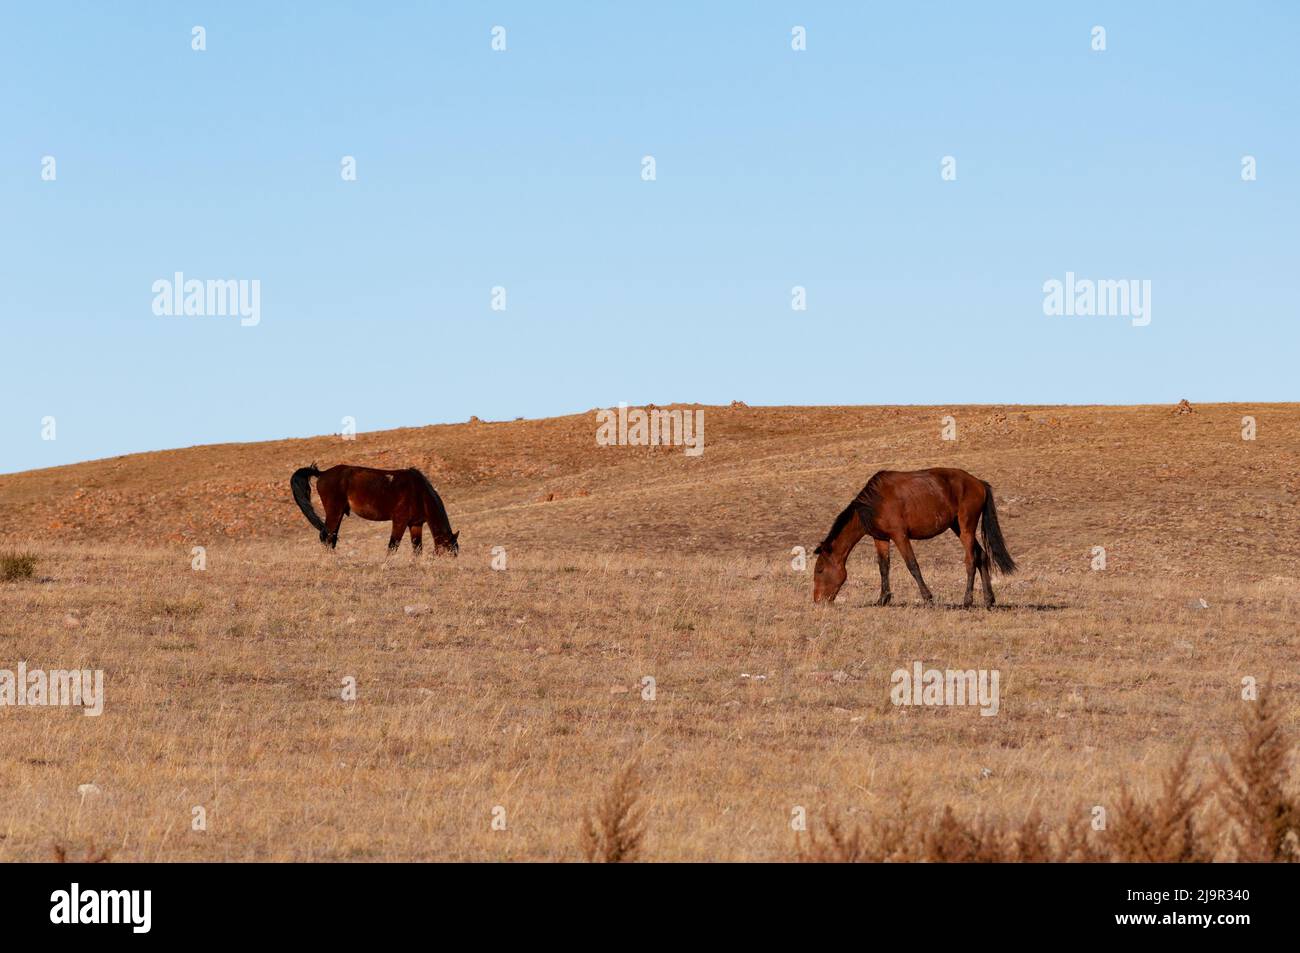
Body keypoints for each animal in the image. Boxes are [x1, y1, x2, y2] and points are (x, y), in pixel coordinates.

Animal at [292, 462, 460, 553]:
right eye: (450, 551)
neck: (419, 493)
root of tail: (322, 473)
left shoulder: (415, 525)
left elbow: (417, 549)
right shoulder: (400, 522)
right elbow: (393, 546)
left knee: (331, 538)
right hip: (334, 512)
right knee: (326, 537)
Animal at [811, 470, 1013, 608]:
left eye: (820, 570)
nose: (817, 601)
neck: (874, 504)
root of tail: (979, 483)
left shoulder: (900, 536)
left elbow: (912, 565)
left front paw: (928, 598)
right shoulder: (881, 539)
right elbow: (883, 568)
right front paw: (883, 599)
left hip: (966, 528)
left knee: (971, 561)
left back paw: (967, 601)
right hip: (957, 527)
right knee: (982, 556)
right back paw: (989, 600)